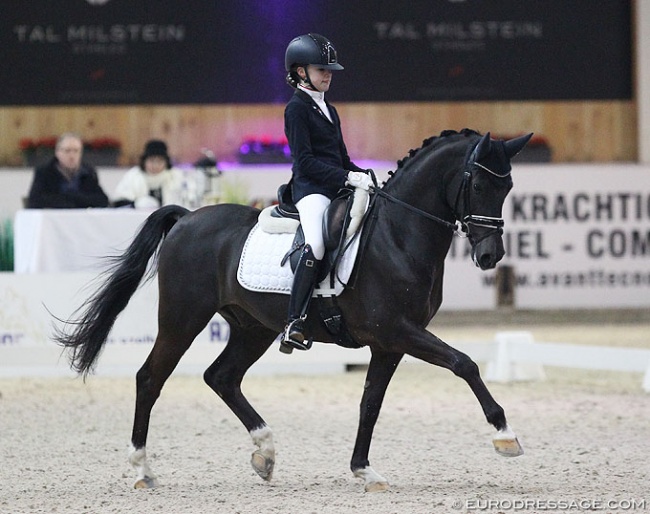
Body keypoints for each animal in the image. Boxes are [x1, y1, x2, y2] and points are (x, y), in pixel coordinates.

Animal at [57, 127, 532, 488]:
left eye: (508, 187)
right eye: (478, 184)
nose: (490, 256)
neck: (398, 235)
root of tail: (186, 218)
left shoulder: (389, 342)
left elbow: (370, 402)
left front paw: (364, 470)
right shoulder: (398, 330)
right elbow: (465, 363)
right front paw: (505, 435)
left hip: (253, 327)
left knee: (221, 377)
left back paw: (265, 453)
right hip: (182, 319)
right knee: (150, 378)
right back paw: (143, 470)